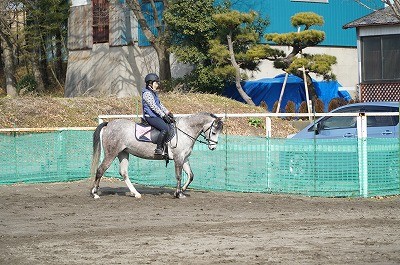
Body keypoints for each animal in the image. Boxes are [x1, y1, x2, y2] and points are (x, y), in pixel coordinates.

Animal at [88, 111, 223, 198]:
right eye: (214, 132)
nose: (213, 147)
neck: (185, 130)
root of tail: (109, 124)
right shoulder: (179, 158)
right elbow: (179, 176)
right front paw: (178, 194)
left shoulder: (184, 158)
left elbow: (191, 175)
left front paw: (182, 190)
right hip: (111, 153)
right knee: (100, 170)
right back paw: (95, 193)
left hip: (123, 153)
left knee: (124, 173)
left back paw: (136, 194)